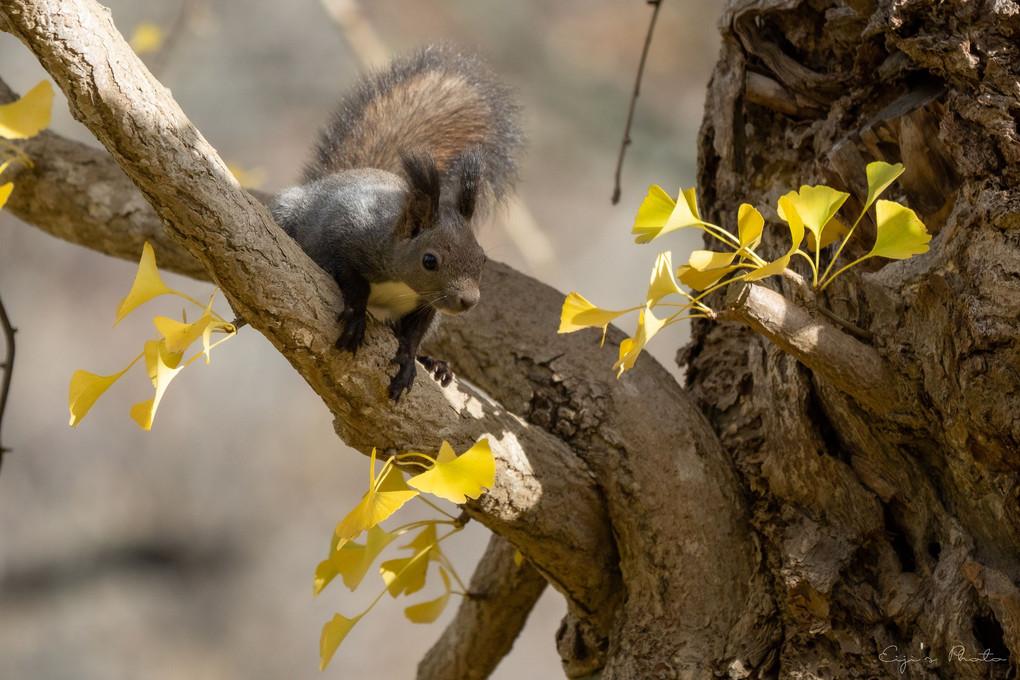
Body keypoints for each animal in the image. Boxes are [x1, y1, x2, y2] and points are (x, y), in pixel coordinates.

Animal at [273, 43, 518, 399]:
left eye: (482, 258)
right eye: (429, 260)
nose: (468, 301)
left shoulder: (428, 303)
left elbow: (415, 332)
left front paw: (410, 358)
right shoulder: (342, 234)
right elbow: (352, 278)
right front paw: (356, 316)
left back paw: (434, 363)